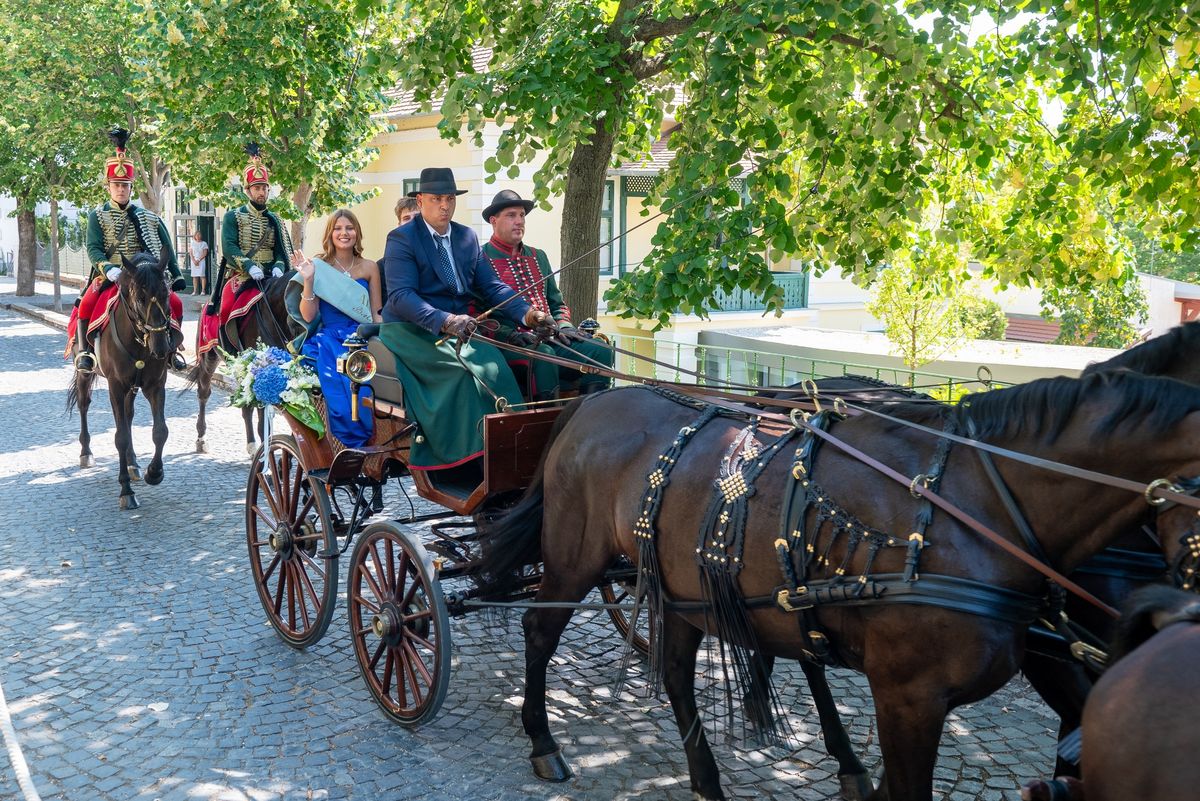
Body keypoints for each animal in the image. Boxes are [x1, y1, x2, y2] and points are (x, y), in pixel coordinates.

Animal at [68, 250, 176, 510]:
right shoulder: (115, 386)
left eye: (167, 295)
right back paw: (86, 452)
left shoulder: (155, 385)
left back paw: (133, 463)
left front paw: (154, 472)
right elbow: (121, 437)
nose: (161, 347)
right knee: (84, 405)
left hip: (132, 388)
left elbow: (160, 431)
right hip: (85, 373)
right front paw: (126, 490)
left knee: (128, 416)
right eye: (140, 298)